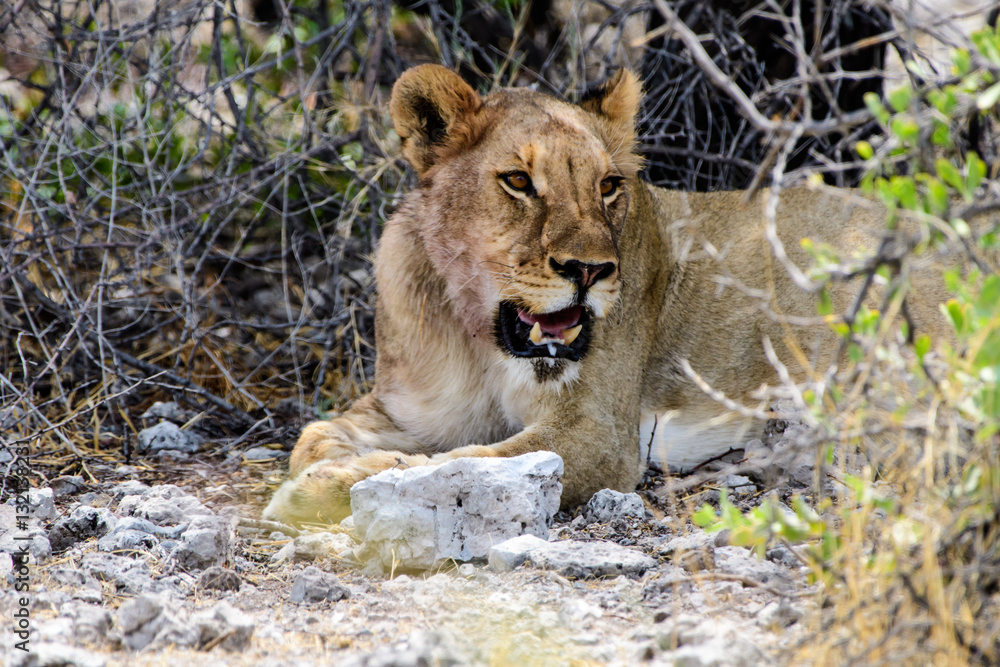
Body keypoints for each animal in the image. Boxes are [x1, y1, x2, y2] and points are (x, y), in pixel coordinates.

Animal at [264, 64, 966, 526]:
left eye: (607, 186)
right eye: (518, 181)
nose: (591, 270)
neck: (477, 330)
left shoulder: (597, 434)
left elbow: (451, 464)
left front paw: (319, 492)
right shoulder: (412, 414)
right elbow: (316, 436)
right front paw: (323, 467)